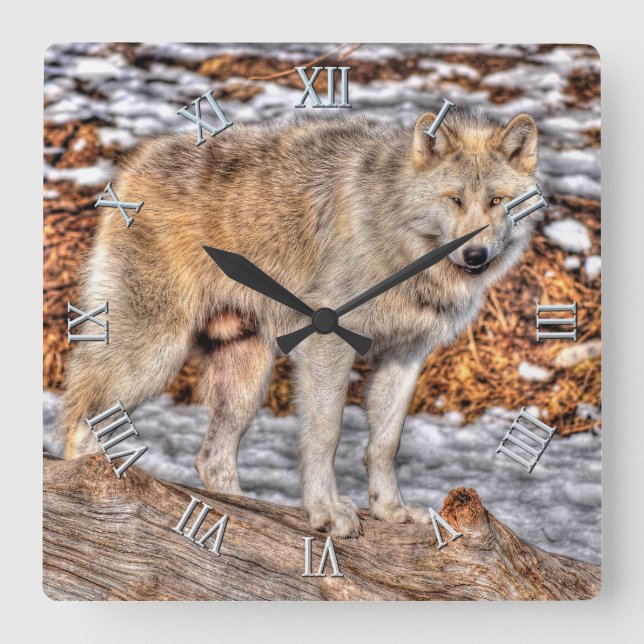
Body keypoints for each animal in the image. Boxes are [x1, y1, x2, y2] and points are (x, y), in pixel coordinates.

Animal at [61, 107, 540, 537]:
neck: (402, 244)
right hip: (154, 359)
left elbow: (386, 443)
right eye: (455, 199)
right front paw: (326, 512)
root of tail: (134, 161)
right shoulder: (327, 345)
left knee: (211, 460)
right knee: (82, 425)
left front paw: (391, 512)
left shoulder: (405, 356)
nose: (475, 255)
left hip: (247, 379)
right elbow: (325, 436)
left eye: (496, 201)